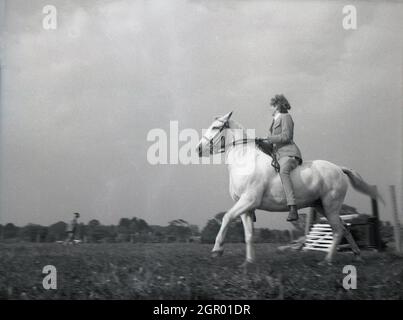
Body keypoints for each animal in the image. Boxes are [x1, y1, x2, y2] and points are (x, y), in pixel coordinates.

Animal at [196, 111, 386, 266]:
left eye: (215, 127)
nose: (198, 149)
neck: (244, 161)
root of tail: (339, 169)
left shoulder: (249, 200)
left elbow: (227, 217)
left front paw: (217, 250)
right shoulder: (246, 208)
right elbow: (248, 235)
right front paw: (248, 262)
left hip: (330, 206)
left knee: (338, 230)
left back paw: (327, 261)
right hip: (321, 206)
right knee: (344, 228)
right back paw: (357, 255)